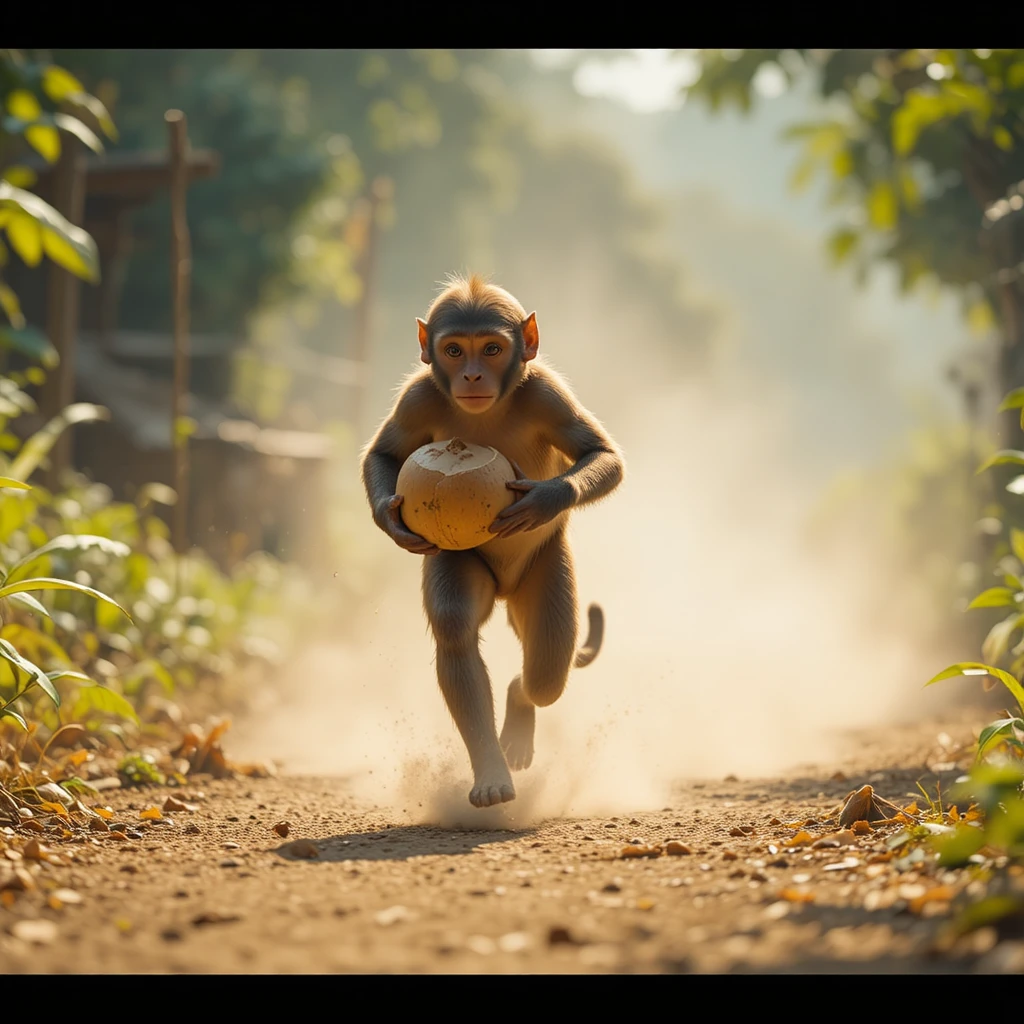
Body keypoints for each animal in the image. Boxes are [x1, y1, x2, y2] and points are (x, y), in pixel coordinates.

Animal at [361, 273, 624, 808]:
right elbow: (385, 453)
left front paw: (544, 499)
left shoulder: (546, 393)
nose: (473, 376)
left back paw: (519, 709)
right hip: (460, 562)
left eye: (492, 349)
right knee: (458, 628)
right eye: (454, 350)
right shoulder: (418, 397)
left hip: (545, 570)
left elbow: (601, 454)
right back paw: (493, 767)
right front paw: (392, 523)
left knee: (545, 669)